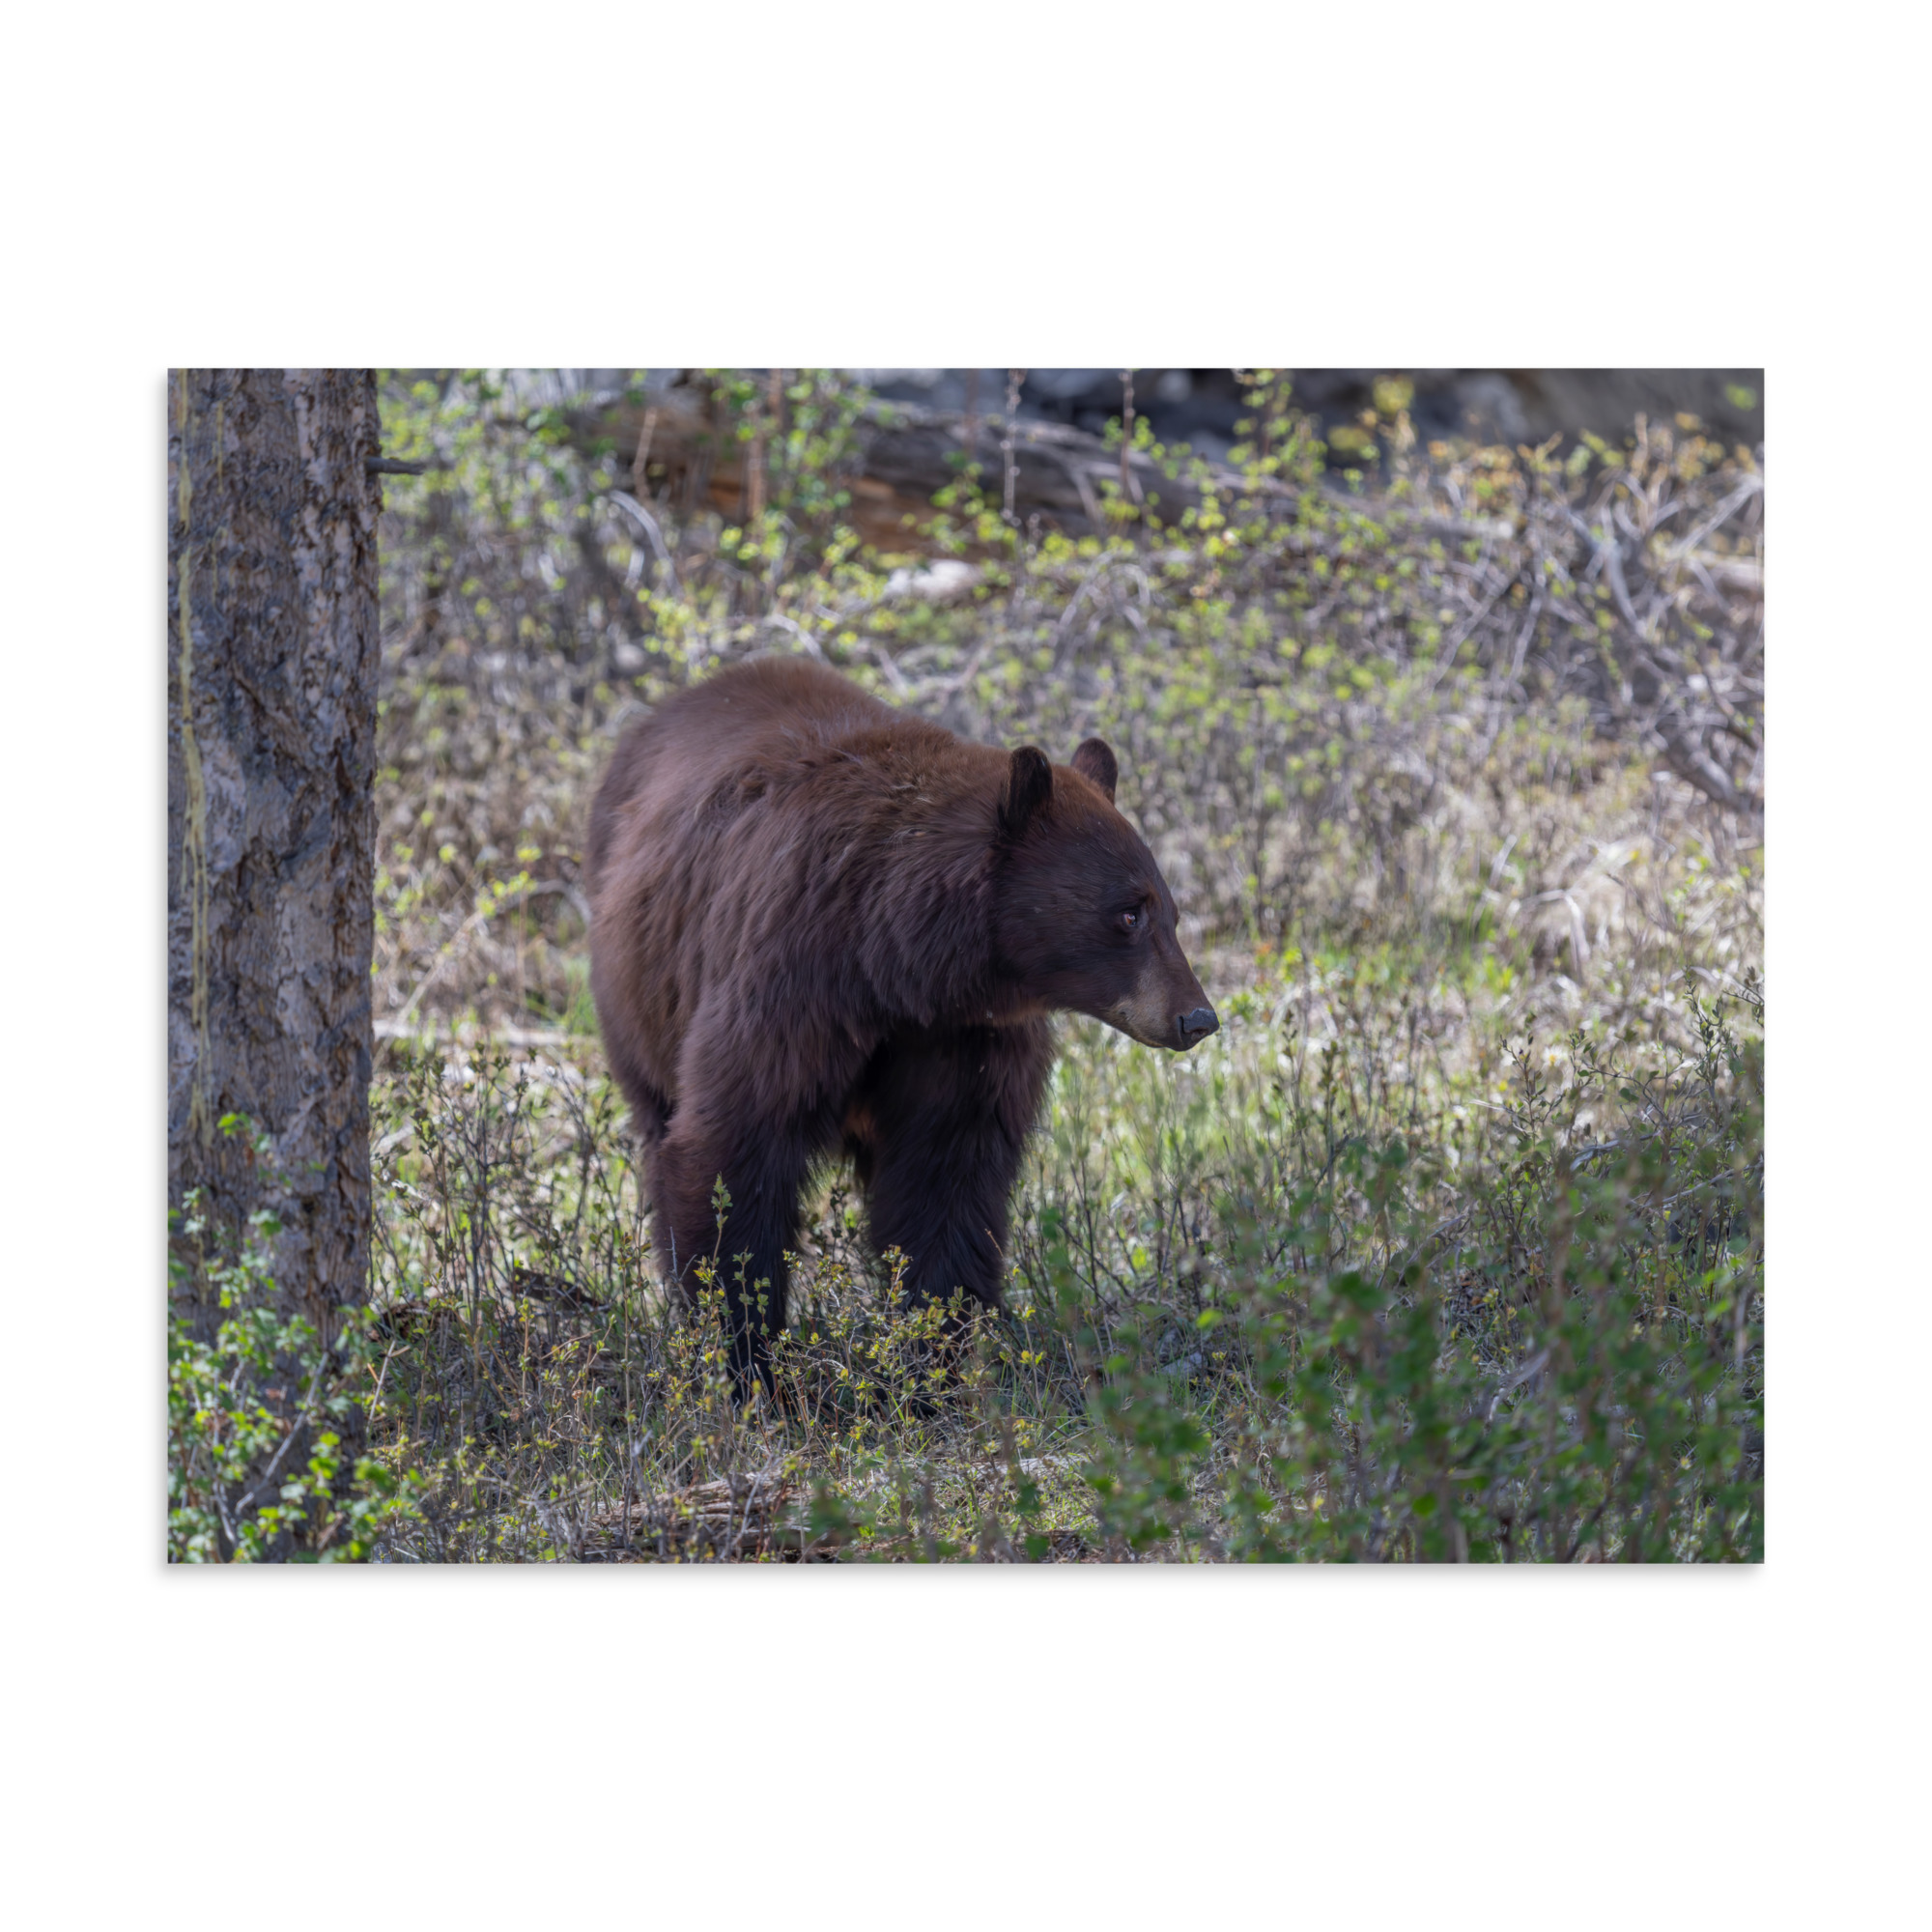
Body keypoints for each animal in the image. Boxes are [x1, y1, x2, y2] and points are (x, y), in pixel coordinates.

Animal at [585, 654, 1216, 1388]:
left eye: (1170, 912)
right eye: (1128, 913)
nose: (1197, 1017)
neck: (896, 963)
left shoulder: (963, 1038)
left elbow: (946, 1181)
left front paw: (930, 1366)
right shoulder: (789, 981)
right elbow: (734, 1149)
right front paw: (747, 1362)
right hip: (638, 996)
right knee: (659, 1125)